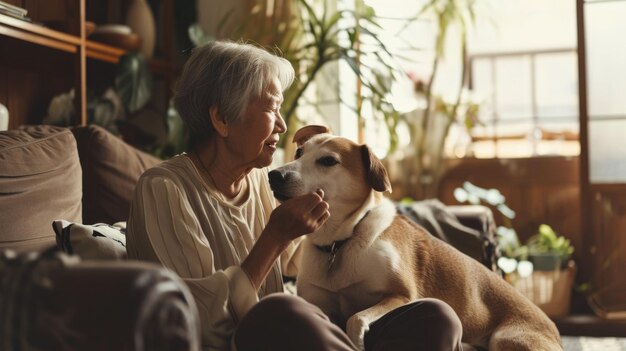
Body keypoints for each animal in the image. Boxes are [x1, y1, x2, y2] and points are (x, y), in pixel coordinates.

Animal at [266, 126, 560, 351]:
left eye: (328, 161)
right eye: (299, 153)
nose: (274, 175)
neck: (341, 241)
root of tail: (555, 332)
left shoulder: (402, 294)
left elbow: (356, 318)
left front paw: (356, 341)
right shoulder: (318, 304)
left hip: (506, 339)